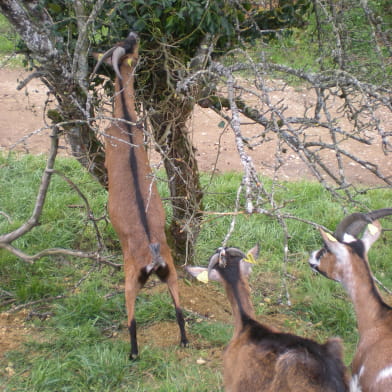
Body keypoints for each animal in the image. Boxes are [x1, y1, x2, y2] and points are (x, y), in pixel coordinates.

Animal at [93, 32, 188, 360]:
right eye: (129, 43)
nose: (134, 33)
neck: (125, 119)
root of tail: (153, 257)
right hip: (171, 271)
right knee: (179, 308)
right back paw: (184, 341)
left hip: (130, 277)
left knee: (131, 318)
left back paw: (133, 354)